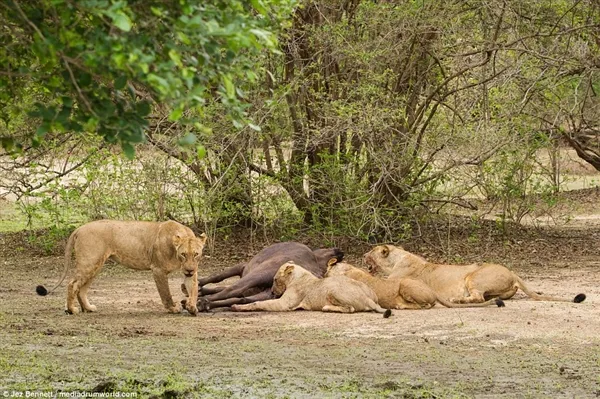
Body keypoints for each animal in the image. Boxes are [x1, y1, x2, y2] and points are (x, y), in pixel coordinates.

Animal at [37, 220, 207, 318]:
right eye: (183, 254)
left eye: (196, 254)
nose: (189, 270)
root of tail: (79, 228)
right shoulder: (158, 269)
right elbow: (165, 293)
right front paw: (173, 308)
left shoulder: (191, 271)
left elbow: (193, 289)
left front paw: (192, 308)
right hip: (89, 262)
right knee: (72, 284)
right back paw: (71, 310)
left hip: (96, 265)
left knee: (82, 288)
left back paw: (88, 308)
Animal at [231, 262, 394, 318]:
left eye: (275, 279)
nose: (272, 292)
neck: (298, 276)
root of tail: (368, 299)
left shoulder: (284, 305)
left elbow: (258, 303)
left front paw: (237, 307)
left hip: (333, 290)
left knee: (350, 308)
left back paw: (327, 308)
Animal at [364, 245, 584, 304]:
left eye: (371, 250)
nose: (363, 254)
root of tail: (513, 273)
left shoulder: (393, 279)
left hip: (473, 277)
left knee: (477, 298)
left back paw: (458, 300)